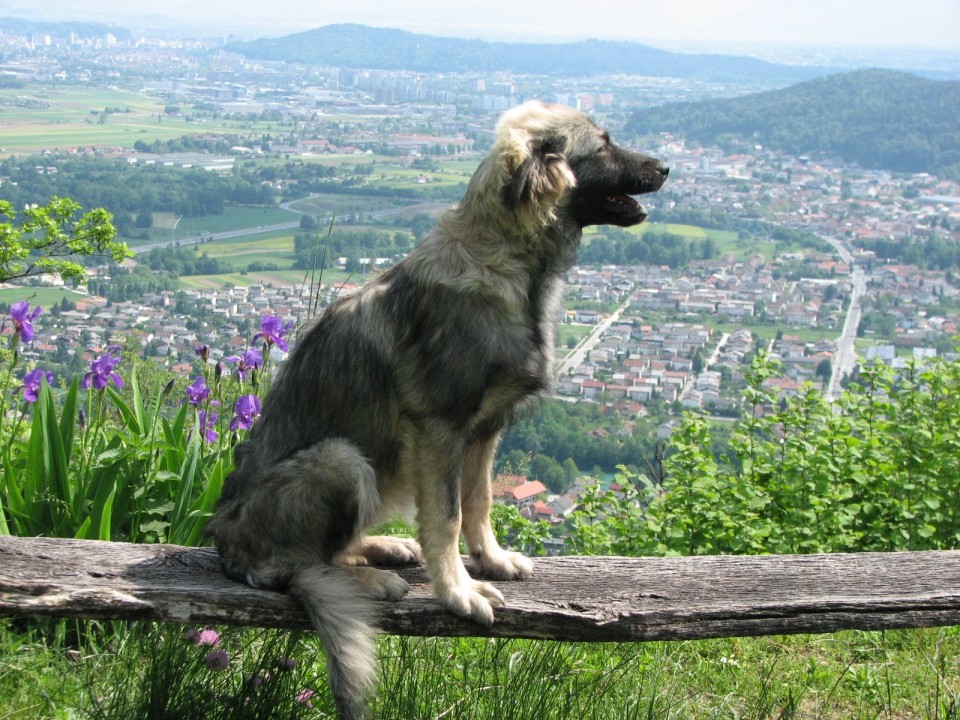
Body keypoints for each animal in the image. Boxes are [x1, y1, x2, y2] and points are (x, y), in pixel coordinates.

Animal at [208, 102, 668, 720]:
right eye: (603, 145)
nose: (665, 167)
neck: (509, 264)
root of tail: (224, 542)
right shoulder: (441, 429)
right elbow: (446, 518)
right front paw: (458, 593)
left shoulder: (486, 430)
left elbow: (479, 502)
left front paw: (492, 561)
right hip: (342, 460)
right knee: (297, 567)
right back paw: (371, 582)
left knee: (336, 548)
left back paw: (384, 549)